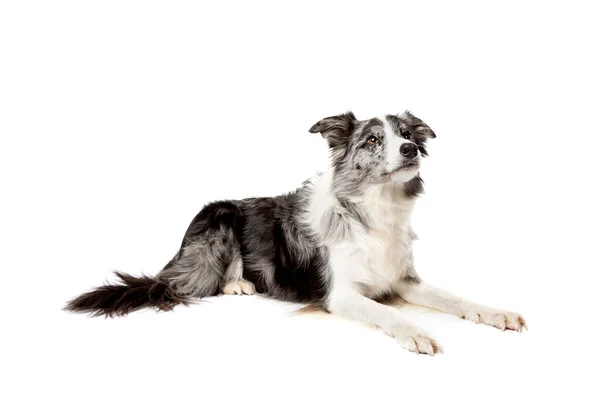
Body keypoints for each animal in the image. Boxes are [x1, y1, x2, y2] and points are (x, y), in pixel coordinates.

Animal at [64, 110, 524, 356]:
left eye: (407, 135)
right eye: (373, 140)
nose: (410, 150)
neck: (374, 211)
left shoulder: (403, 280)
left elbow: (455, 298)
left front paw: (494, 312)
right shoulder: (340, 294)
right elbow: (389, 313)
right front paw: (417, 332)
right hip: (218, 219)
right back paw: (238, 284)